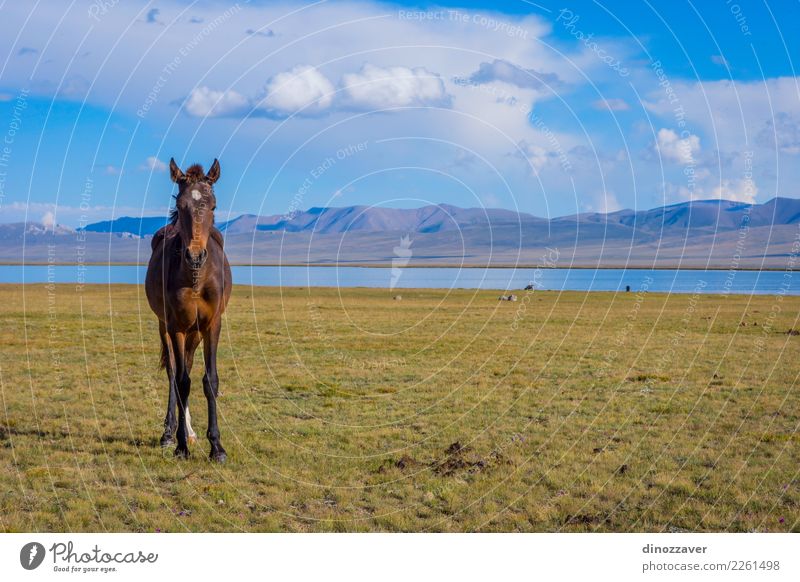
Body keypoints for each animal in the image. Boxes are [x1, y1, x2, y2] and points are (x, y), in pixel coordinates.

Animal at [145, 160, 233, 466]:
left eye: (213, 205)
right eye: (180, 204)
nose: (195, 256)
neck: (195, 277)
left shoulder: (212, 325)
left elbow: (210, 380)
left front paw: (216, 447)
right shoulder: (176, 326)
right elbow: (182, 382)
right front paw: (181, 445)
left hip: (196, 332)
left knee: (190, 366)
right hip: (165, 327)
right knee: (174, 373)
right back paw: (170, 432)